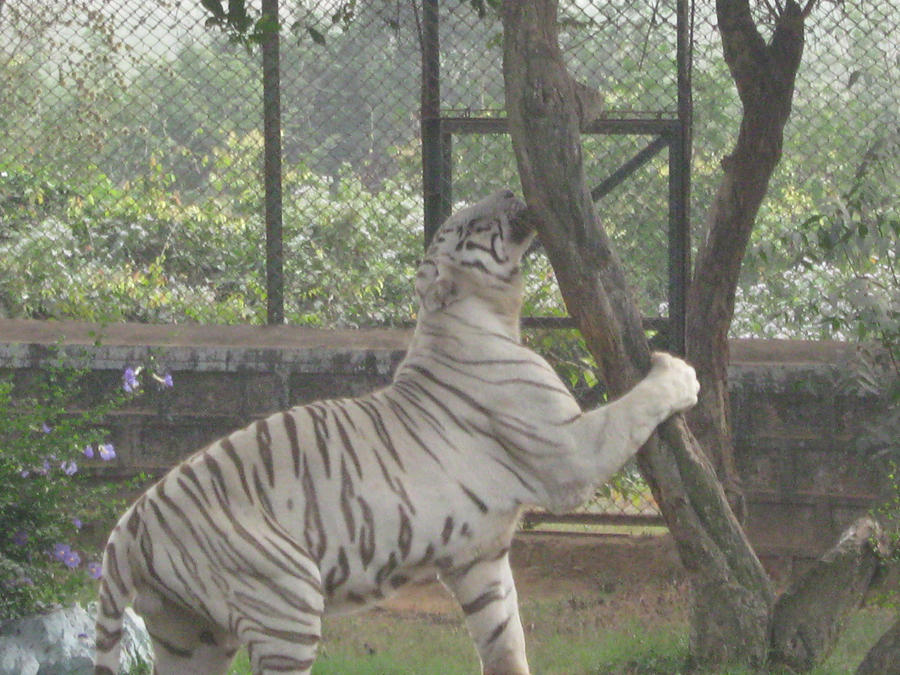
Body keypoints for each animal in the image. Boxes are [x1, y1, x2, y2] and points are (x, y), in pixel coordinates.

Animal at [93, 190, 696, 675]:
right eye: (469, 223)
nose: (508, 190)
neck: (487, 315)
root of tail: (129, 525)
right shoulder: (571, 451)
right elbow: (634, 406)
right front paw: (677, 371)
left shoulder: (480, 558)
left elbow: (505, 641)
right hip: (285, 602)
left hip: (191, 636)